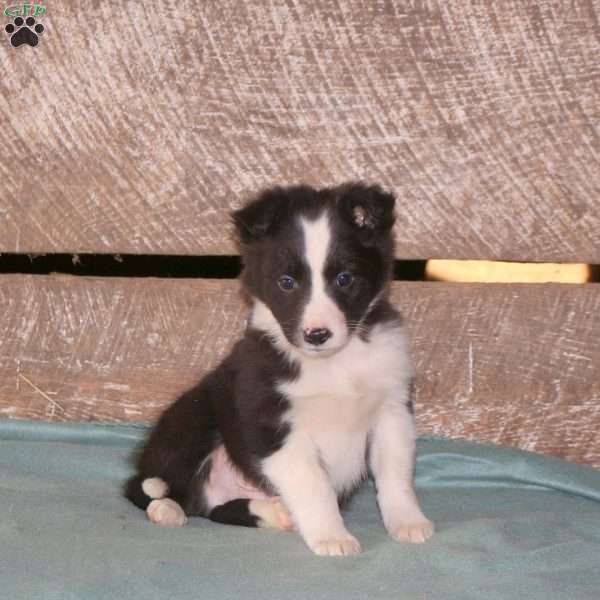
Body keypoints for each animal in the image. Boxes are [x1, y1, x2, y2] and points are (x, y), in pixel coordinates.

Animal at [124, 183, 434, 556]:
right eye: (287, 282)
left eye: (345, 279)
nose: (317, 334)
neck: (334, 363)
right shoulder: (275, 425)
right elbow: (315, 486)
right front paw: (332, 537)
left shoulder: (391, 411)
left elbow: (396, 476)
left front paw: (408, 521)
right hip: (192, 415)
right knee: (159, 487)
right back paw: (166, 510)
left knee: (217, 508)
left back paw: (276, 513)